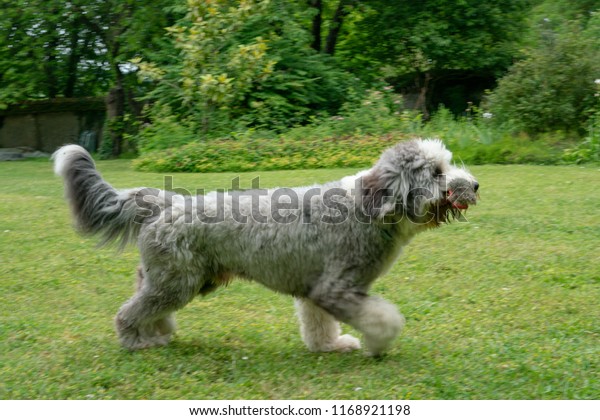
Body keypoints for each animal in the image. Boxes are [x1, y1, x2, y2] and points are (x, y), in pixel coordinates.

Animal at [54, 139, 480, 356]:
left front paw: (330, 345)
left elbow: (318, 324)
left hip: (176, 278)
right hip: (177, 281)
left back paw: (156, 333)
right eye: (437, 172)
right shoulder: (337, 287)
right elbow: (384, 318)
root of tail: (165, 201)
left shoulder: (315, 290)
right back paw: (134, 340)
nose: (475, 185)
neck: (370, 208)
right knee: (129, 311)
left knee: (146, 299)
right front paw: (378, 343)